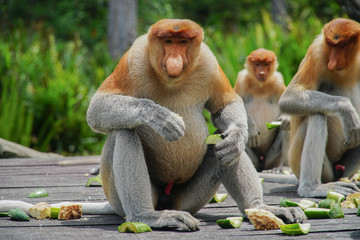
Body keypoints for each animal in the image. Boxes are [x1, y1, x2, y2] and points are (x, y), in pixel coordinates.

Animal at [86, 19, 306, 231]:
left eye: (183, 42)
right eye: (168, 42)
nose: (174, 58)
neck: (172, 81)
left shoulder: (209, 62)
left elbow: (224, 105)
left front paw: (236, 140)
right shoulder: (133, 59)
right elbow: (97, 107)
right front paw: (162, 118)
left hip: (188, 200)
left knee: (221, 138)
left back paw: (261, 208)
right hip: (120, 195)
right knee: (124, 131)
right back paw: (147, 216)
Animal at [280, 18, 360, 198]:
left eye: (342, 46)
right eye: (331, 45)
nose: (332, 63)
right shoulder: (316, 54)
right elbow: (288, 98)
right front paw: (347, 111)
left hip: (346, 168)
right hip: (297, 159)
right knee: (316, 115)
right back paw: (312, 187)